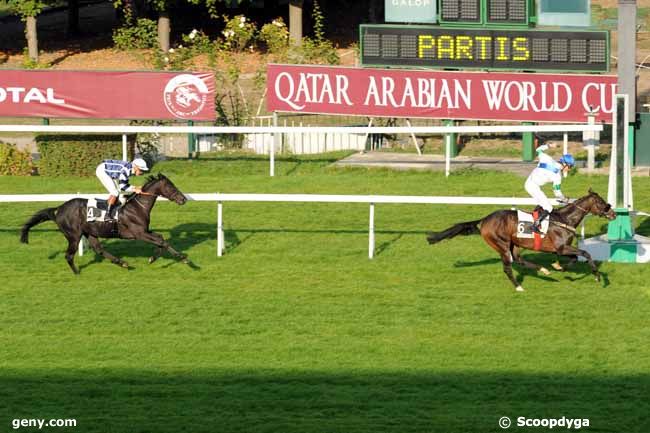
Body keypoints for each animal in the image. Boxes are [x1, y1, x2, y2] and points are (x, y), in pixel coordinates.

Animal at [20, 173, 187, 272]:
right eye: (171, 186)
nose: (183, 199)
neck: (137, 207)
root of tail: (59, 208)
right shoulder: (138, 233)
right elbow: (161, 241)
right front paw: (184, 258)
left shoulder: (145, 231)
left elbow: (160, 238)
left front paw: (153, 258)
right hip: (74, 235)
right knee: (69, 255)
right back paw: (77, 272)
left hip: (90, 232)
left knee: (98, 249)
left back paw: (122, 263)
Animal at [426, 188, 612, 290]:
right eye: (601, 202)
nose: (613, 213)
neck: (565, 219)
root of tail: (484, 220)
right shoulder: (561, 248)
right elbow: (586, 253)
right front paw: (597, 277)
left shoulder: (561, 249)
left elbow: (574, 258)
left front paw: (558, 267)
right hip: (501, 244)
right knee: (508, 266)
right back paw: (519, 286)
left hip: (514, 243)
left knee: (518, 259)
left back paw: (543, 271)